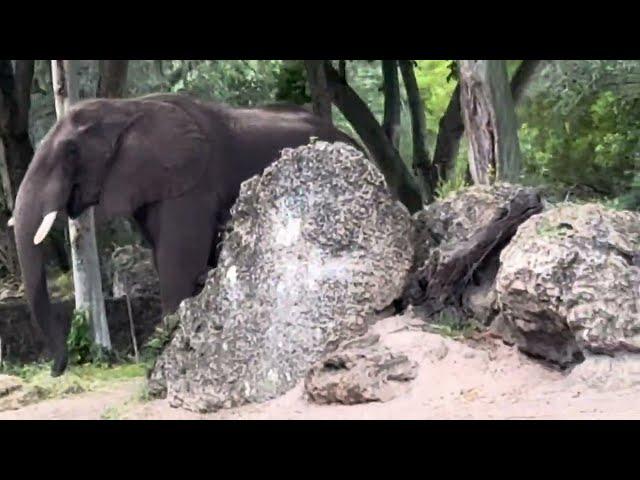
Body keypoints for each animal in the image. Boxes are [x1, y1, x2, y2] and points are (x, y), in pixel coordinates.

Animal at [10, 91, 360, 376]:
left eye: (71, 151)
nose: (56, 370)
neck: (125, 107)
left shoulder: (192, 183)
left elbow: (178, 262)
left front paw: (167, 356)